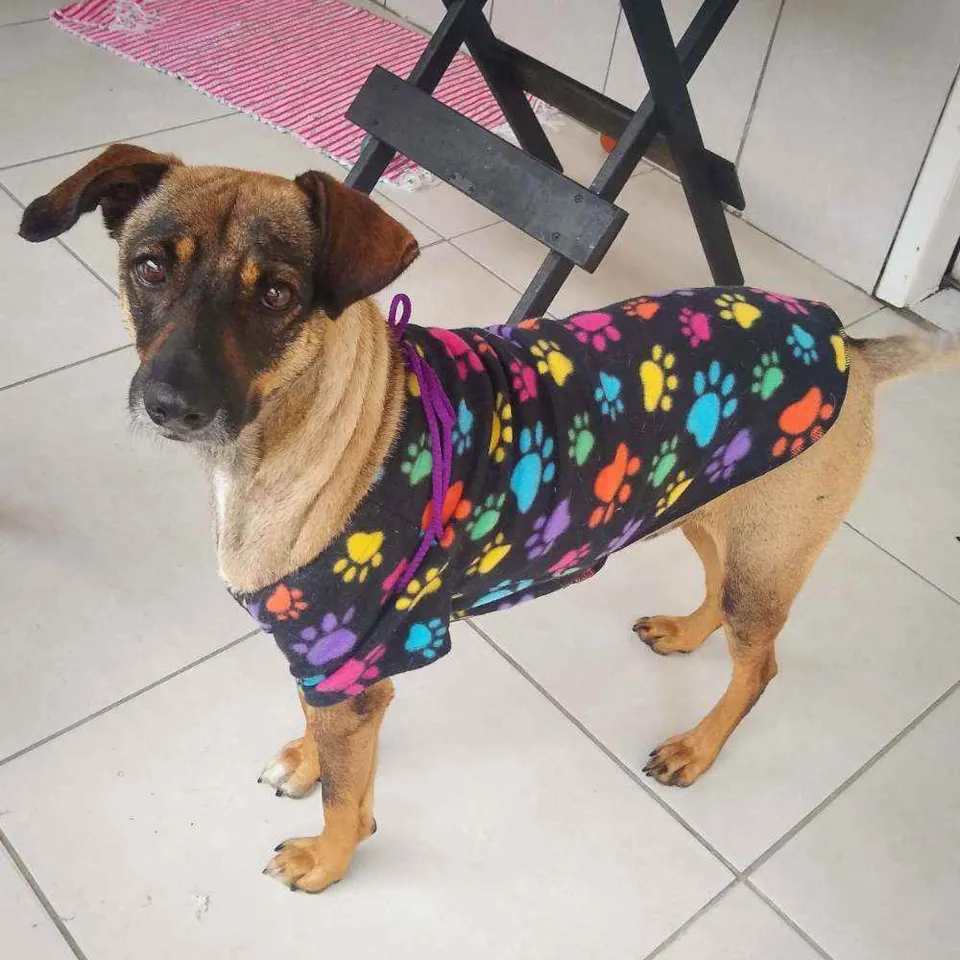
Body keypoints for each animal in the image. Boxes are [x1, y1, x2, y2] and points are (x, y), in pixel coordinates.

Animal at [18, 143, 960, 893]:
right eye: (149, 268)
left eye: (279, 293)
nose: (169, 403)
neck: (316, 427)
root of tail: (845, 341)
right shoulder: (332, 662)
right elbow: (323, 735)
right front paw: (305, 760)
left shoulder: (355, 665)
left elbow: (350, 799)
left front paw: (328, 860)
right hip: (703, 504)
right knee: (718, 594)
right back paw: (688, 634)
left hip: (766, 554)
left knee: (759, 666)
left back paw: (697, 746)